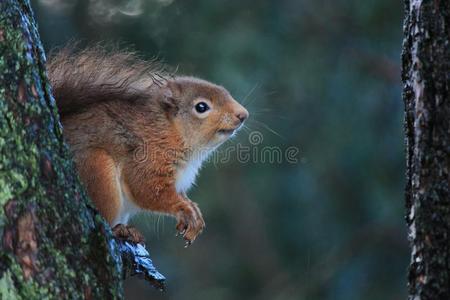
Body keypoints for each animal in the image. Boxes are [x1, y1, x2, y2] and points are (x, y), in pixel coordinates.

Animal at [48, 45, 250, 245]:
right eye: (201, 107)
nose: (243, 114)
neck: (170, 132)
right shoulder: (145, 156)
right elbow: (147, 190)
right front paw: (185, 209)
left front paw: (194, 211)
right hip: (97, 168)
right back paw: (120, 230)